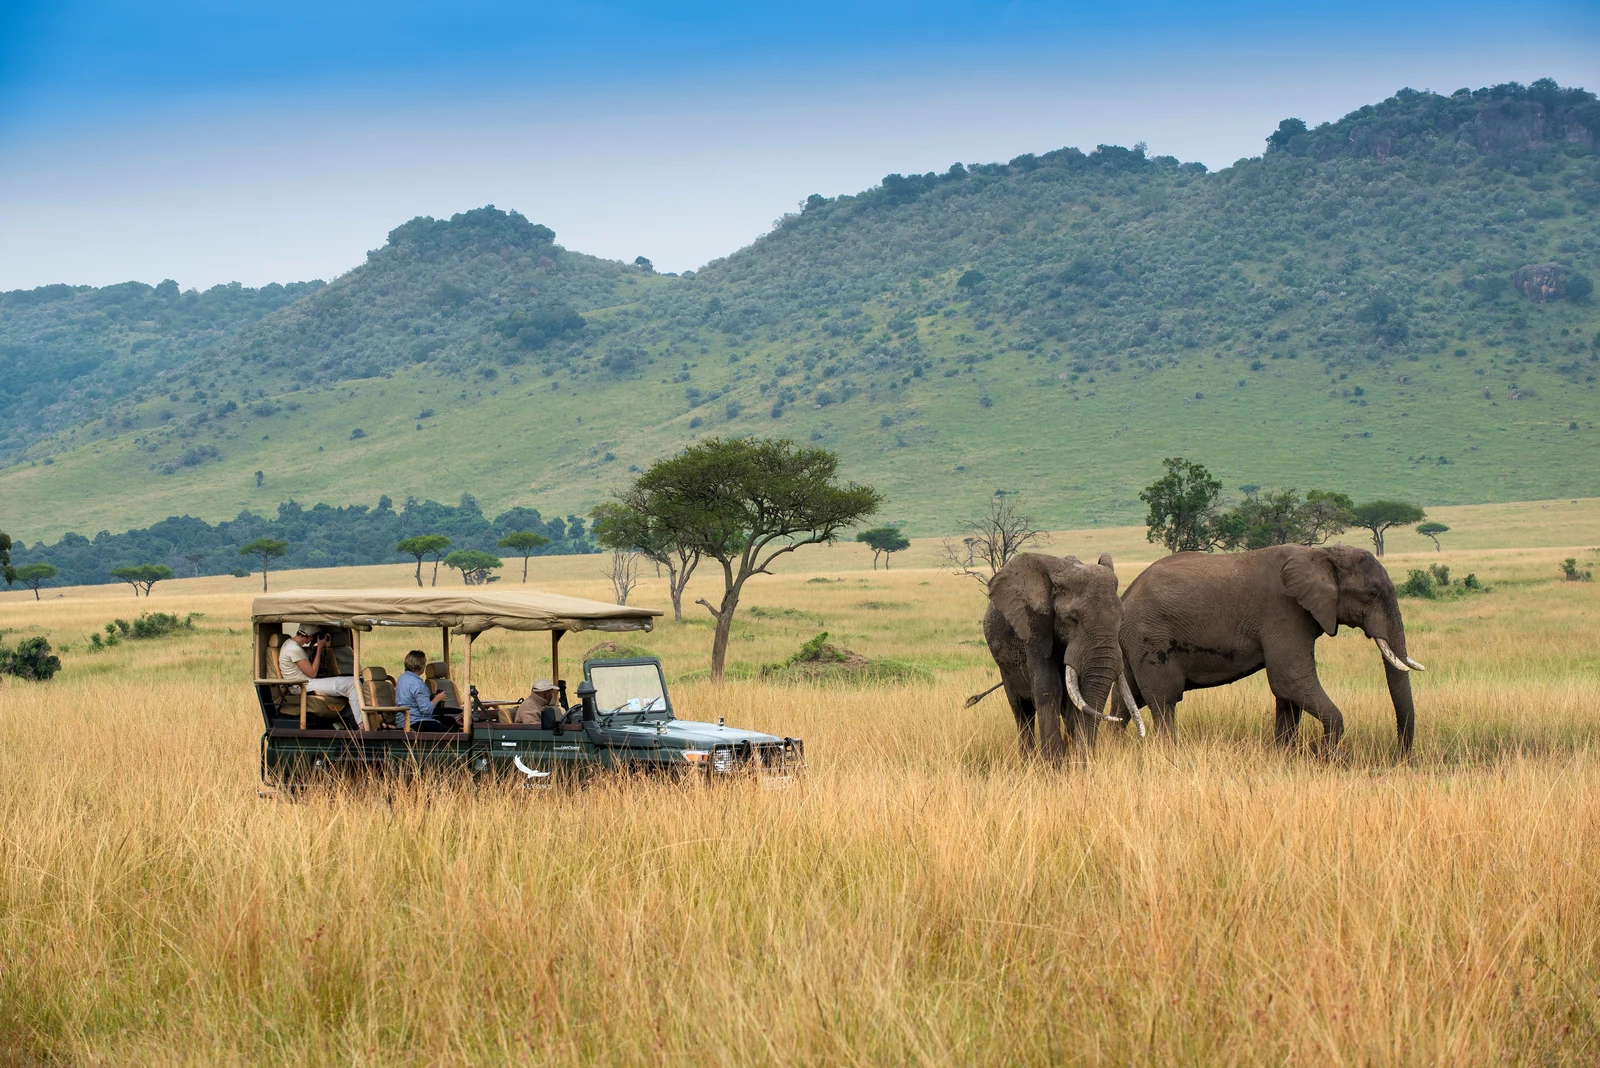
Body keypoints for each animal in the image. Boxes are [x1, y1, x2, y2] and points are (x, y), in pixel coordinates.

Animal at [974, 552, 1131, 760]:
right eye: (1072, 619)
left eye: (1121, 617)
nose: (1086, 759)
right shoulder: (1035, 628)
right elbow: (1048, 687)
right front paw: (1054, 764)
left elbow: (1075, 698)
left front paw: (1071, 759)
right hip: (1004, 667)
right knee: (1021, 711)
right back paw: (1027, 760)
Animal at [1117, 543, 1423, 753]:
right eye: (1371, 594)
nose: (1400, 757)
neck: (1321, 555)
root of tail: (1126, 595)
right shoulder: (1284, 612)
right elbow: (1290, 681)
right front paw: (1325, 757)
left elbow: (1289, 694)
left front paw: (1286, 755)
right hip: (1150, 636)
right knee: (1164, 701)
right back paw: (1169, 752)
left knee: (1127, 701)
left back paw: (1112, 746)